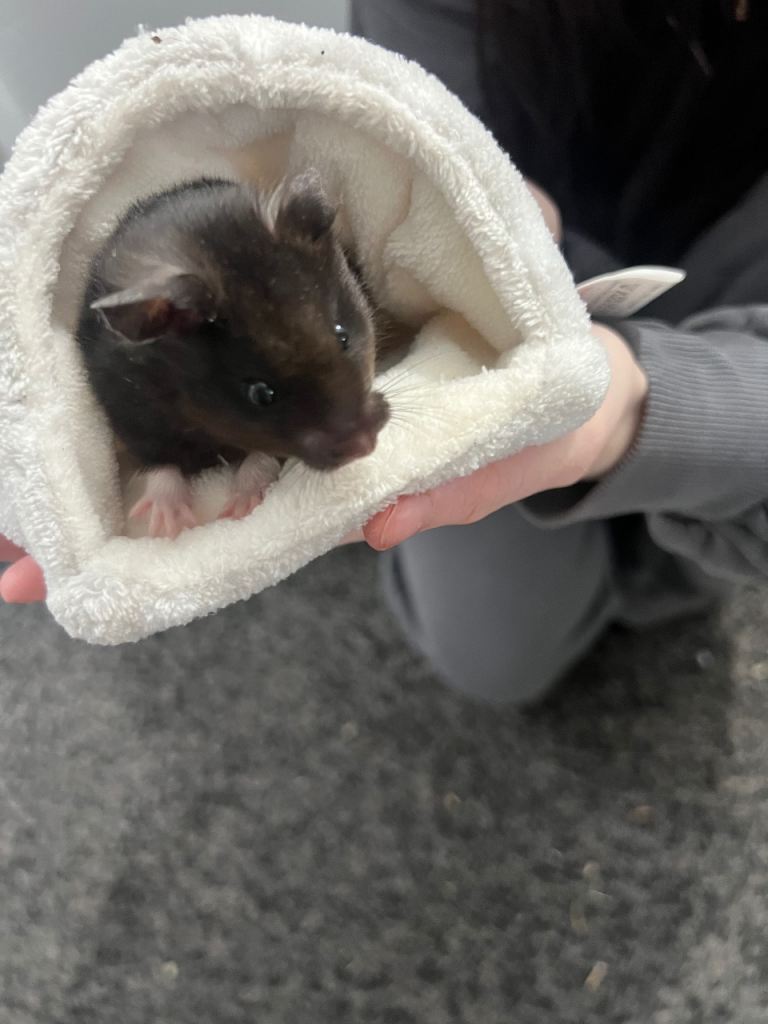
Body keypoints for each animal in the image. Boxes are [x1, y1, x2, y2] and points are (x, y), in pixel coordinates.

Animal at [77, 172, 401, 539]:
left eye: (342, 335)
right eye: (260, 394)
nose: (365, 445)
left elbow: (262, 456)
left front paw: (239, 509)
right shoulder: (130, 412)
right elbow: (161, 462)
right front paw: (170, 527)